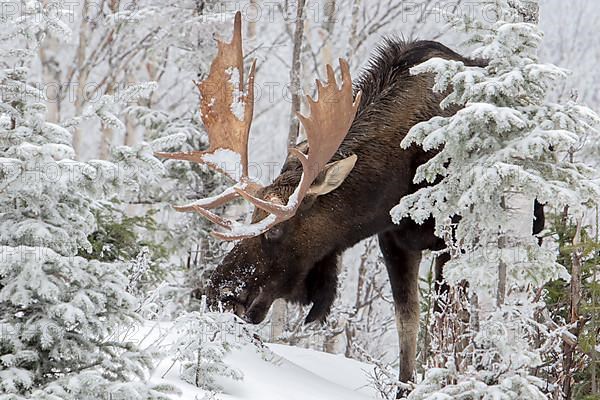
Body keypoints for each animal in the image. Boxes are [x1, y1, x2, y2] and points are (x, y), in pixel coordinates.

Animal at [158, 11, 544, 394]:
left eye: (276, 229)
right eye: (251, 214)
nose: (218, 291)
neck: (398, 179)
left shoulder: (455, 234)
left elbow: (451, 321)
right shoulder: (393, 241)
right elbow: (408, 325)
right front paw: (407, 387)